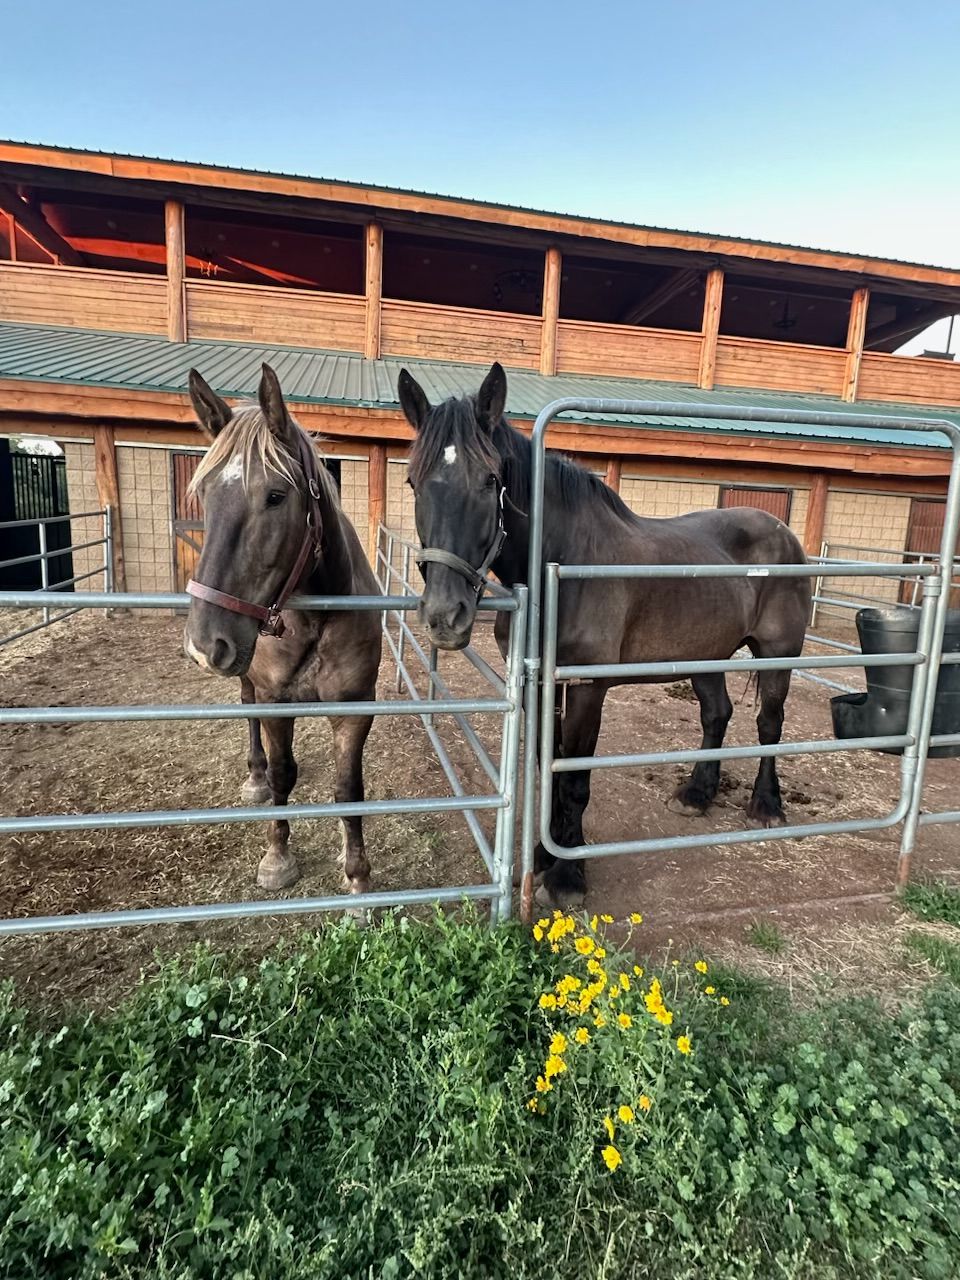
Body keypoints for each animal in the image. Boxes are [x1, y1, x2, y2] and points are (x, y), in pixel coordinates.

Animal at [183, 365, 382, 895]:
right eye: (205, 494)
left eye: (275, 496)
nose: (205, 643)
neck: (316, 618)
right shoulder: (275, 700)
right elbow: (281, 775)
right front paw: (277, 857)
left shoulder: (355, 707)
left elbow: (348, 788)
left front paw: (357, 875)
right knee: (249, 716)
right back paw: (253, 775)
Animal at [398, 361, 811, 909]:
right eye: (413, 482)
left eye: (490, 480)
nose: (446, 616)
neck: (562, 563)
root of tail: (783, 533)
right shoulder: (540, 686)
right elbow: (548, 768)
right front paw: (544, 854)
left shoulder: (587, 688)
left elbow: (574, 778)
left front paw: (567, 875)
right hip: (705, 655)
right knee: (717, 714)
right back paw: (696, 795)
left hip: (778, 653)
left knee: (769, 724)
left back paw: (766, 806)